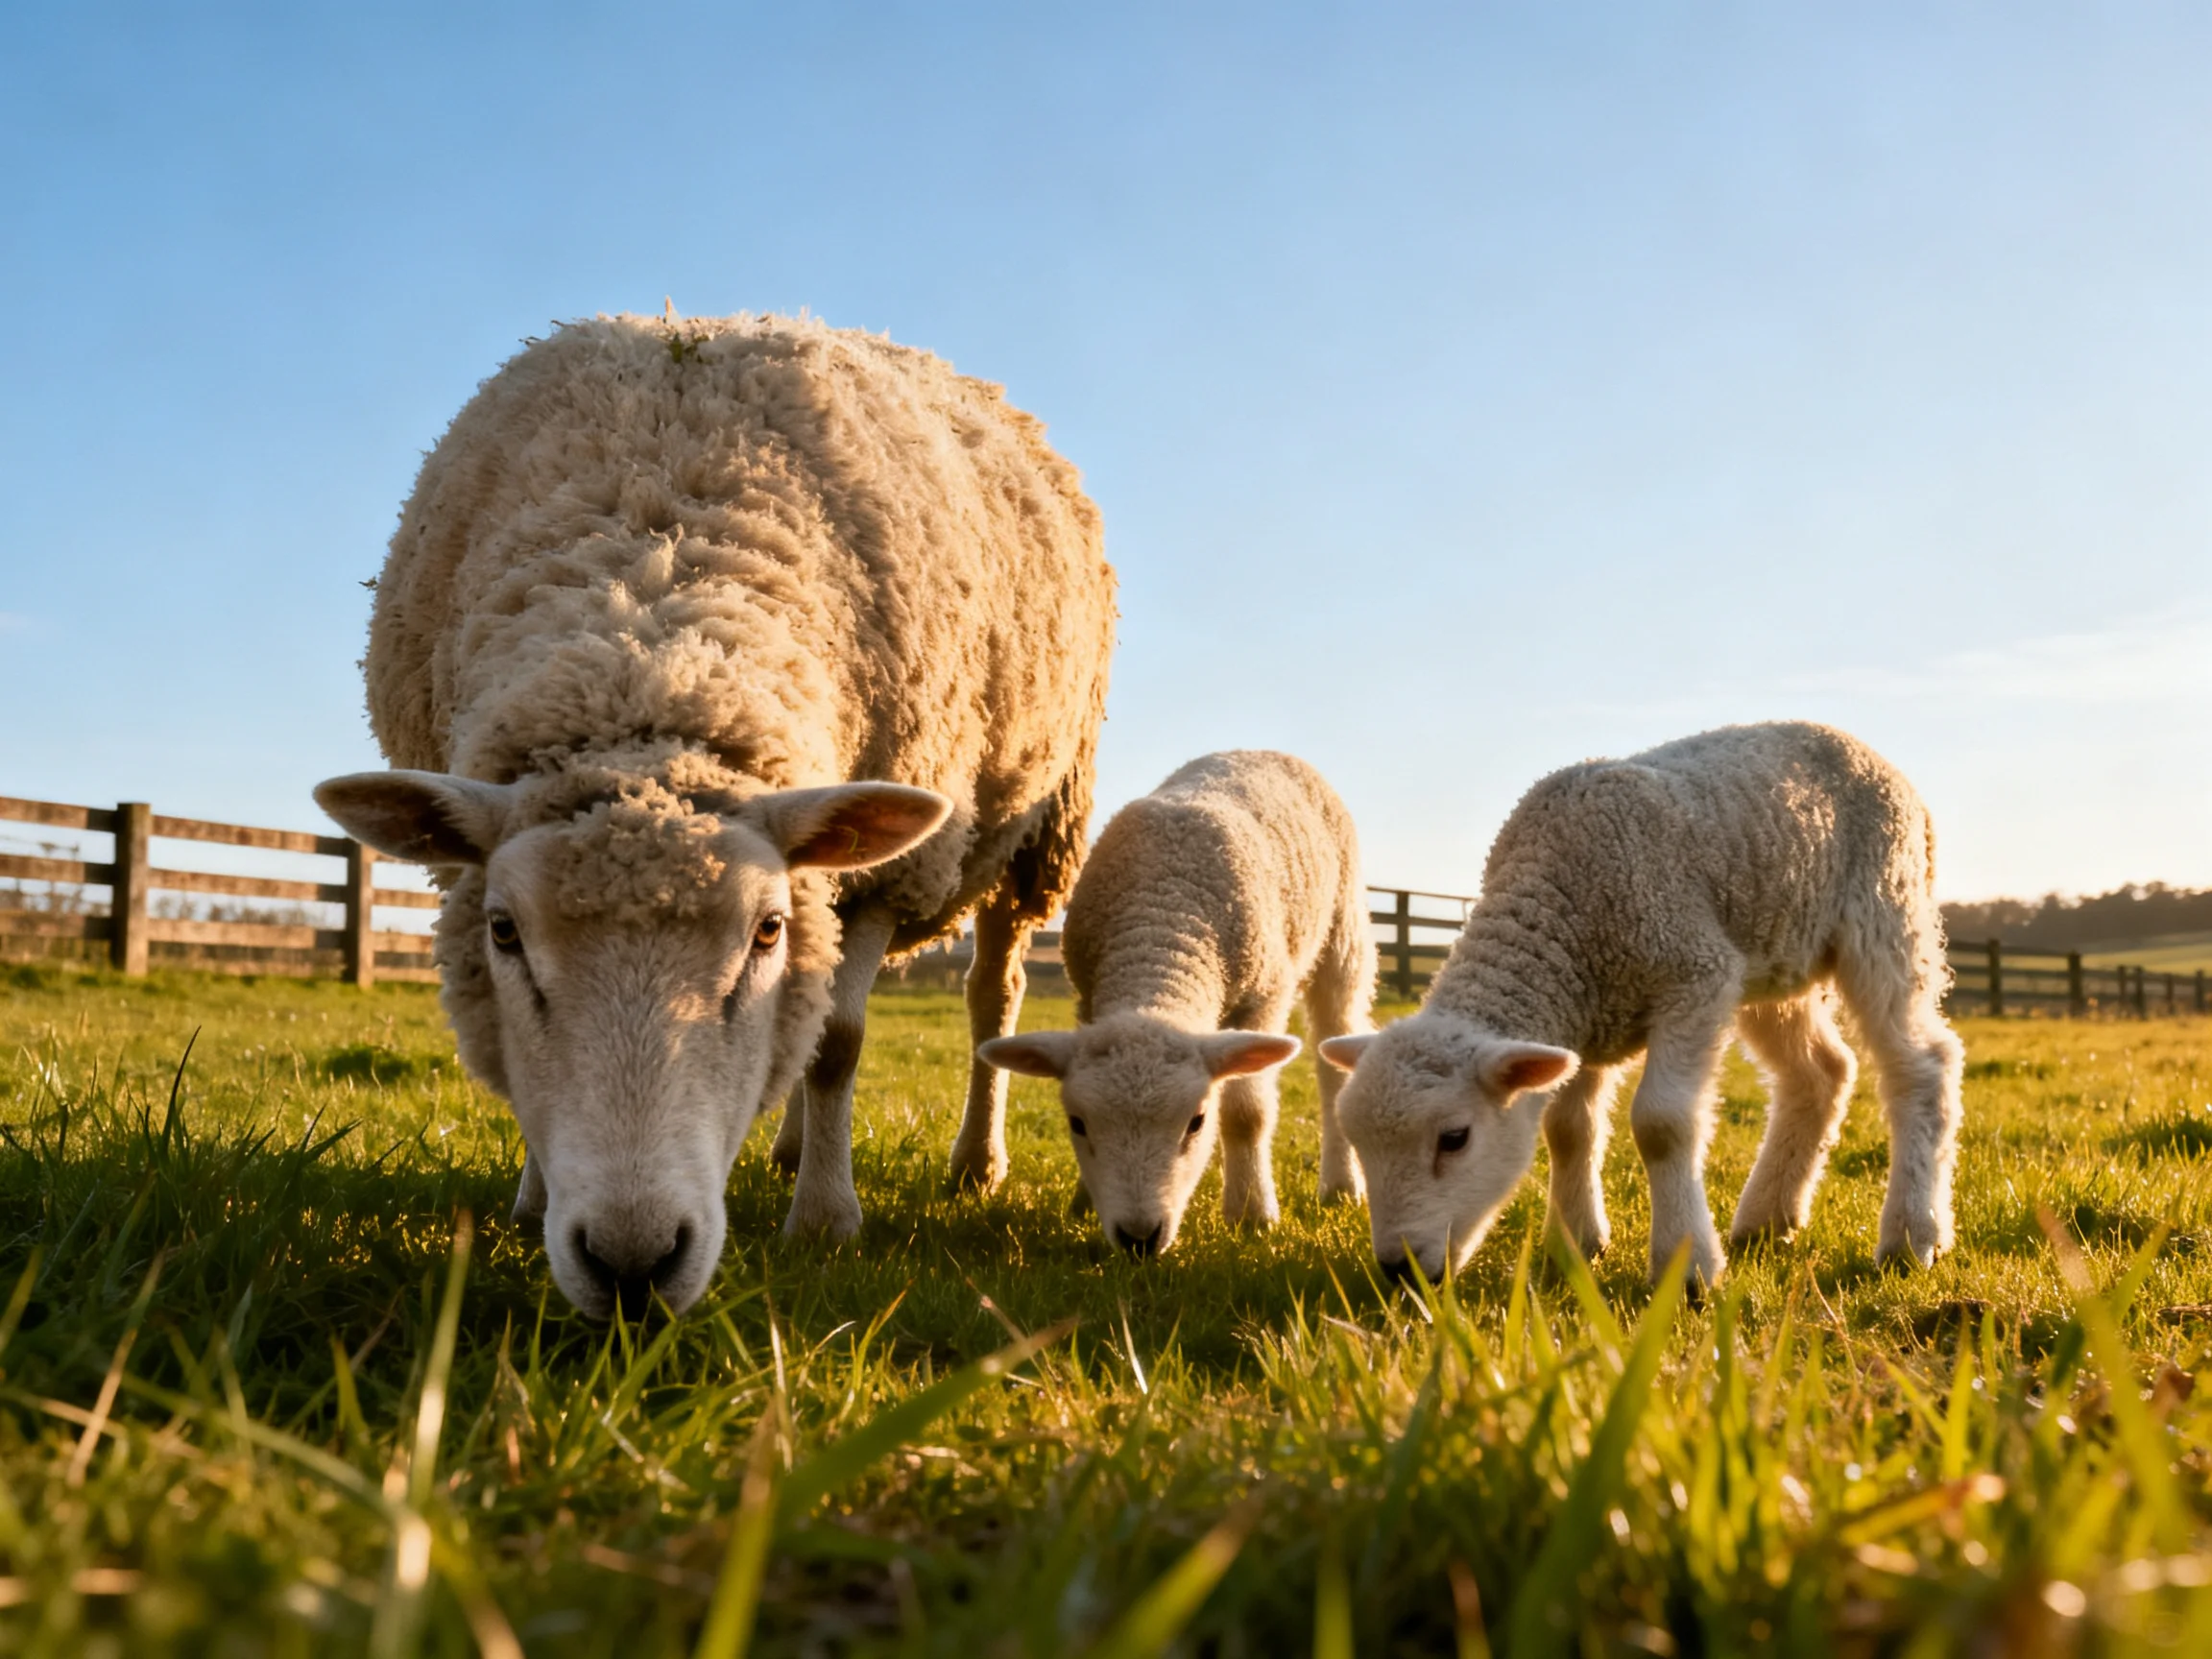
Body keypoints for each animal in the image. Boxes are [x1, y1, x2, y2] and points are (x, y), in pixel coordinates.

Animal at [313, 311, 1115, 1317]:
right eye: (503, 931)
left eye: (766, 928)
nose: (633, 1262)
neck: (649, 625)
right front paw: (531, 1198)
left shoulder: (883, 879)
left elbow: (840, 1044)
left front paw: (827, 1221)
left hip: (1036, 829)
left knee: (990, 994)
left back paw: (974, 1163)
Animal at [977, 750, 1376, 1255]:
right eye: (1077, 1123)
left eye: (1197, 1122)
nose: (1138, 1239)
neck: (1161, 926)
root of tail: (1258, 750)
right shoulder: (1088, 1000)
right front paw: (1085, 1203)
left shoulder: (1262, 998)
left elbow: (1247, 1115)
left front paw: (1252, 1214)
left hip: (1342, 935)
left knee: (1333, 1048)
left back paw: (1341, 1186)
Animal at [1319, 721, 1963, 1290]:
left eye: (1454, 1138)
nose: (1398, 1270)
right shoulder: (1584, 1016)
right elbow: (1567, 1128)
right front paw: (1576, 1244)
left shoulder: (1693, 975)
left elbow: (1661, 1124)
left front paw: (1687, 1268)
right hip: (1772, 958)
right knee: (1821, 1072)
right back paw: (1767, 1218)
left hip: (1885, 910)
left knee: (1921, 1065)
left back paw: (1912, 1236)